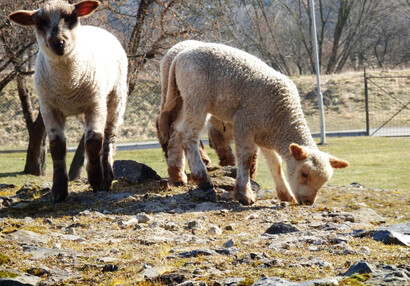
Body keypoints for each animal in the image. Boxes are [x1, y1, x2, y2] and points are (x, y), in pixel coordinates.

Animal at [9, 0, 128, 202]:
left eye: (72, 17)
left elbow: (93, 141)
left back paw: (106, 178)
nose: (58, 43)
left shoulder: (95, 104)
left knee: (109, 137)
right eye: (39, 23)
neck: (67, 85)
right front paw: (58, 191)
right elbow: (57, 146)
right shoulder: (48, 108)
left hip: (116, 97)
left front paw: (96, 180)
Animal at [158, 41, 350, 204]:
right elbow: (245, 159)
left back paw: (177, 174)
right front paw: (244, 194)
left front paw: (285, 195)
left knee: (176, 129)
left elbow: (275, 164)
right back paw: (202, 178)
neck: (282, 120)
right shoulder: (245, 124)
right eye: (304, 173)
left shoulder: (264, 135)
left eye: (324, 181)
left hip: (182, 98)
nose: (308, 202)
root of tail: (179, 56)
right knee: (189, 134)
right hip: (197, 98)